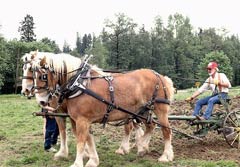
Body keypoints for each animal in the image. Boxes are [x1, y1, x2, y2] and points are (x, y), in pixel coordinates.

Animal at [31, 55, 174, 166]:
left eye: (43, 76)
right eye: (33, 75)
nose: (42, 101)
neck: (79, 84)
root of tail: (160, 76)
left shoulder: (82, 120)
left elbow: (81, 141)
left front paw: (77, 163)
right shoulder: (78, 120)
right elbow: (88, 139)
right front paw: (93, 160)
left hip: (160, 110)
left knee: (166, 130)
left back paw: (165, 156)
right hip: (142, 111)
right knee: (151, 126)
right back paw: (141, 147)